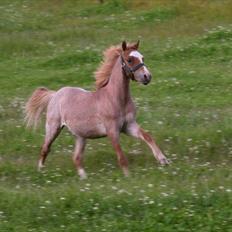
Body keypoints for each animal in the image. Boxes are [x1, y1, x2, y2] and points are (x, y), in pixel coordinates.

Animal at [25, 40, 169, 179]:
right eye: (129, 60)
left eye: (142, 57)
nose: (147, 76)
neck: (115, 98)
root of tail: (55, 94)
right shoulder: (112, 131)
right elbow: (121, 156)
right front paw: (128, 177)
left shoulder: (129, 126)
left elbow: (147, 136)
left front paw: (163, 160)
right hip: (53, 127)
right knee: (45, 148)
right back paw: (41, 172)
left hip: (80, 136)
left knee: (76, 157)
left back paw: (84, 178)